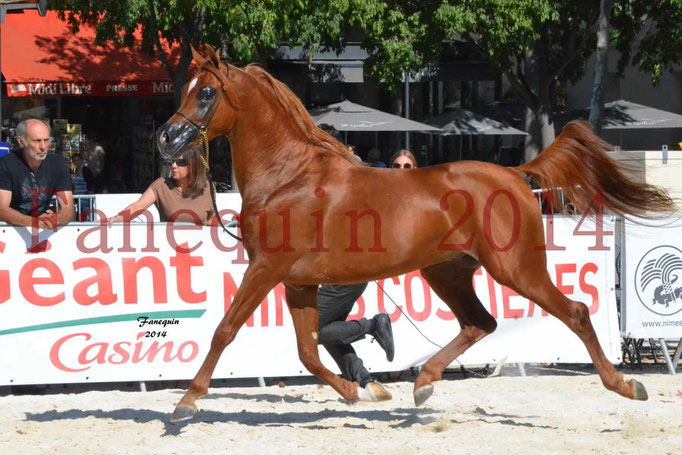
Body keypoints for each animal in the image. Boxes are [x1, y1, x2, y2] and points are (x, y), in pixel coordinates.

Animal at [157, 46, 672, 424]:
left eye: (206, 92)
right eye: (184, 89)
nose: (165, 139)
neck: (290, 177)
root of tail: (514, 175)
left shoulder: (266, 269)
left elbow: (225, 331)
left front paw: (186, 402)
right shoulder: (298, 282)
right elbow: (307, 350)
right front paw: (361, 391)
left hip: (517, 270)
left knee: (576, 313)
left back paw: (628, 385)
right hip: (447, 272)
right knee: (481, 323)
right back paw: (422, 384)